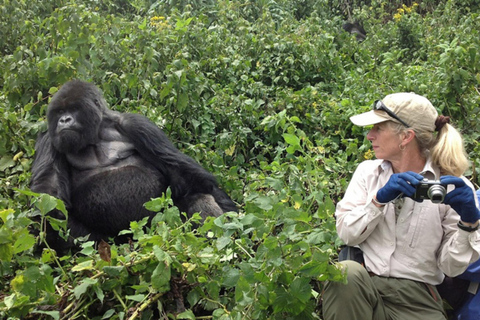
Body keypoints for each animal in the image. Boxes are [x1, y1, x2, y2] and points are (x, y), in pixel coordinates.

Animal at [30, 79, 236, 251]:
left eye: (73, 109)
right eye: (59, 112)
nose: (64, 120)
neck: (95, 134)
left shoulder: (136, 124)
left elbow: (186, 175)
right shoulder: (49, 137)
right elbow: (47, 200)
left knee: (198, 197)